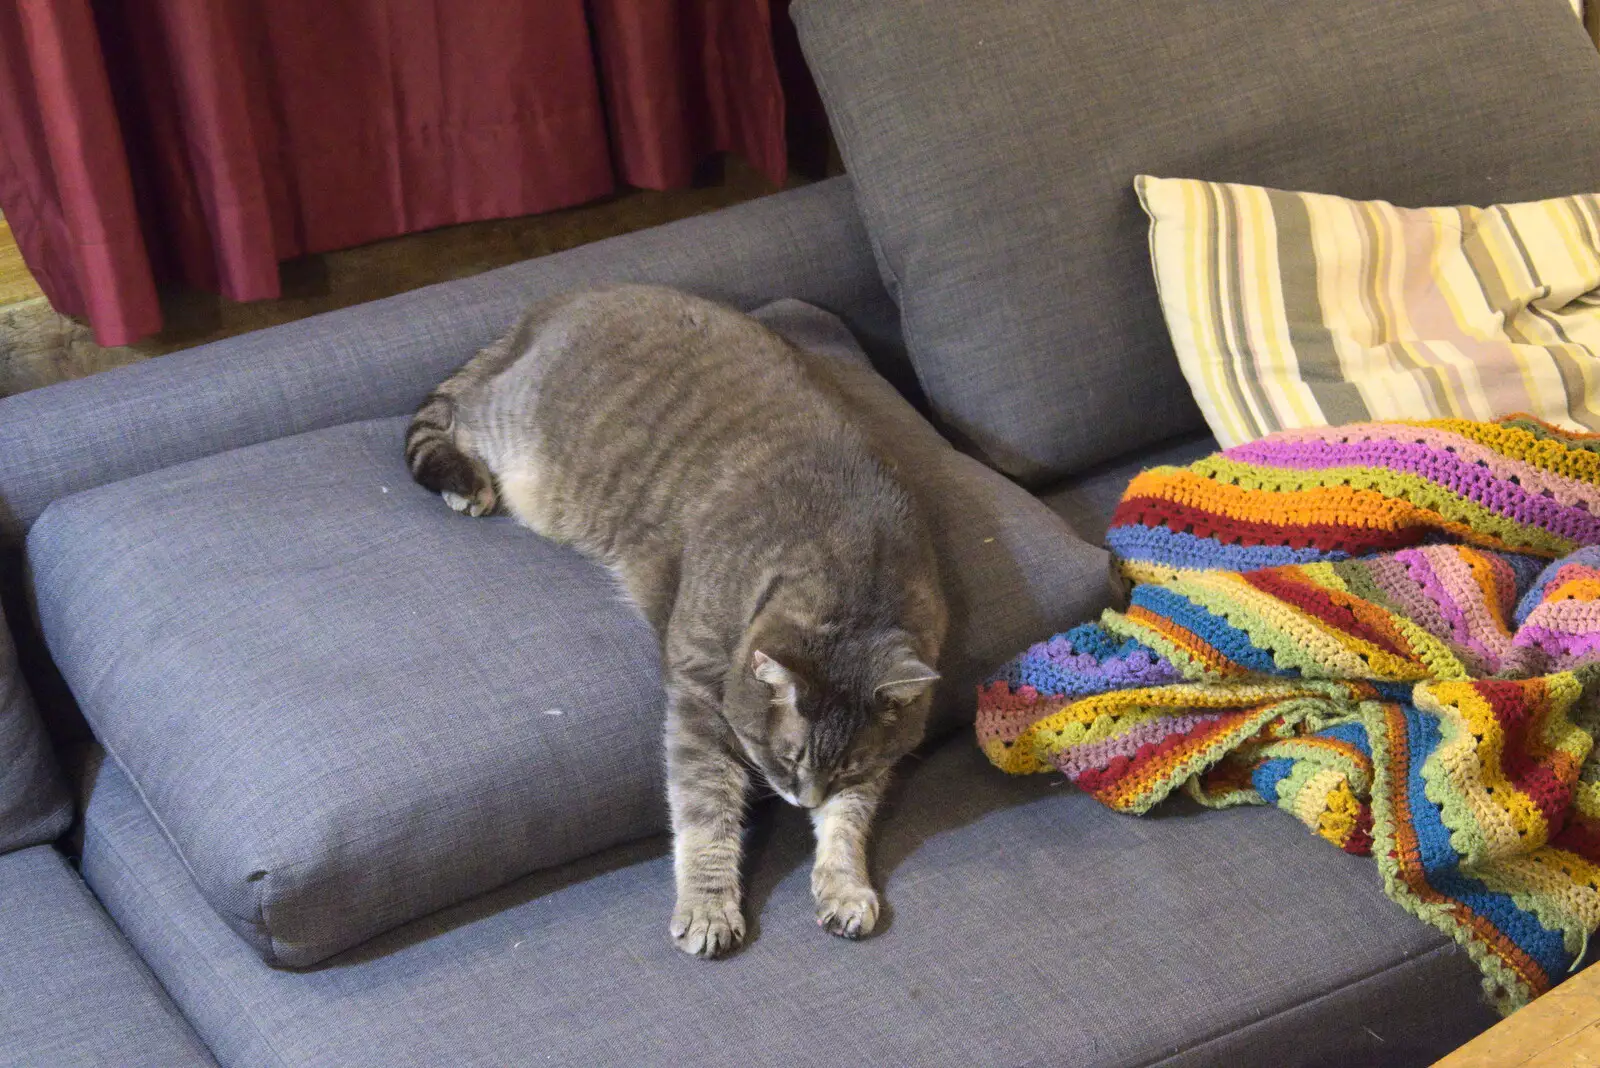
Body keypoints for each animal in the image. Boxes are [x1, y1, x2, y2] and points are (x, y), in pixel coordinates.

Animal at [406, 282, 940, 959]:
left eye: (842, 769)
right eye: (786, 756)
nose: (801, 798)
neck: (854, 569)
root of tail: (557, 301)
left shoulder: (879, 751)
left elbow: (849, 821)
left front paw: (843, 885)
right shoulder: (697, 694)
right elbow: (705, 811)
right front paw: (710, 908)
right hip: (508, 424)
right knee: (450, 415)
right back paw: (464, 481)